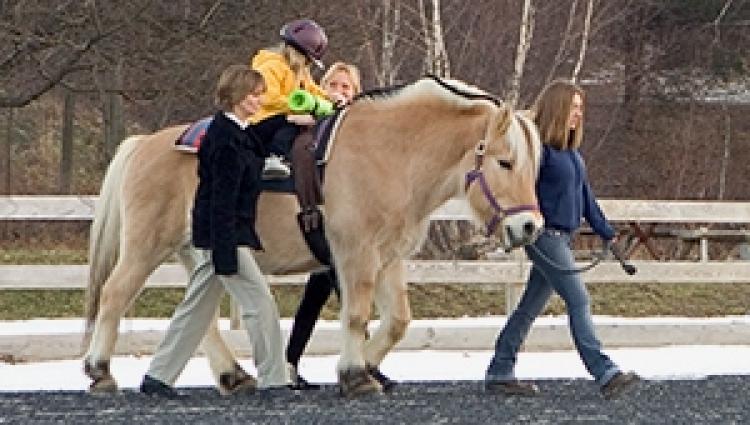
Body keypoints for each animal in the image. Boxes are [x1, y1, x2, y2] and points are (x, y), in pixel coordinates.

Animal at [82, 74, 544, 396]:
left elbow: (397, 321)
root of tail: (143, 144)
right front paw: (355, 375)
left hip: (197, 252)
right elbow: (356, 315)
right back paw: (100, 371)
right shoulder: (356, 253)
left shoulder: (390, 257)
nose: (529, 226)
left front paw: (364, 367)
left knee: (202, 318)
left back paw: (233, 376)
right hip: (146, 246)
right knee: (115, 294)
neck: (391, 155)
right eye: (505, 162)